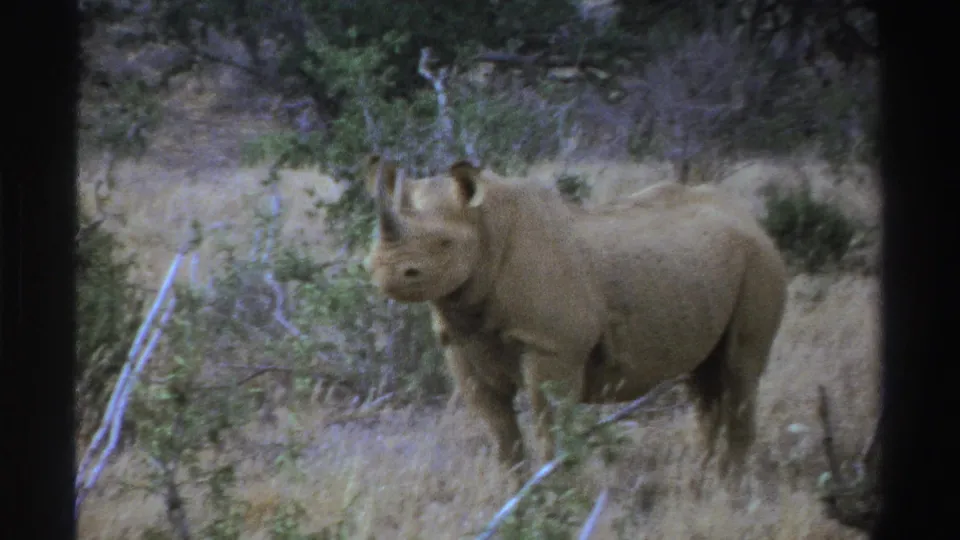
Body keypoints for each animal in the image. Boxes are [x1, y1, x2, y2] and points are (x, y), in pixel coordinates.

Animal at [362, 156, 789, 483]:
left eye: (445, 244)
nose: (387, 272)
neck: (485, 225)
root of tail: (750, 218)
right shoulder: (463, 344)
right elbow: (500, 431)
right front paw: (515, 495)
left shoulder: (553, 346)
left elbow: (550, 423)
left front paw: (556, 494)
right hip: (706, 266)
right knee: (705, 381)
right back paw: (698, 483)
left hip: (761, 262)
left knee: (740, 369)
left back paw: (727, 491)